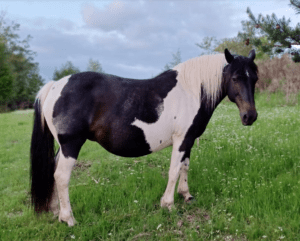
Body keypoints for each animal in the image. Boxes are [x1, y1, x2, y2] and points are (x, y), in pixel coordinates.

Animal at [31, 48, 258, 226]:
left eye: (254, 78)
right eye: (235, 78)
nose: (250, 116)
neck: (191, 91)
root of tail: (54, 86)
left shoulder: (189, 140)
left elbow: (185, 166)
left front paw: (186, 195)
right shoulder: (181, 140)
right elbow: (174, 171)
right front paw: (168, 205)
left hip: (63, 146)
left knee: (54, 171)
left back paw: (56, 211)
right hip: (71, 144)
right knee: (61, 177)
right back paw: (69, 218)